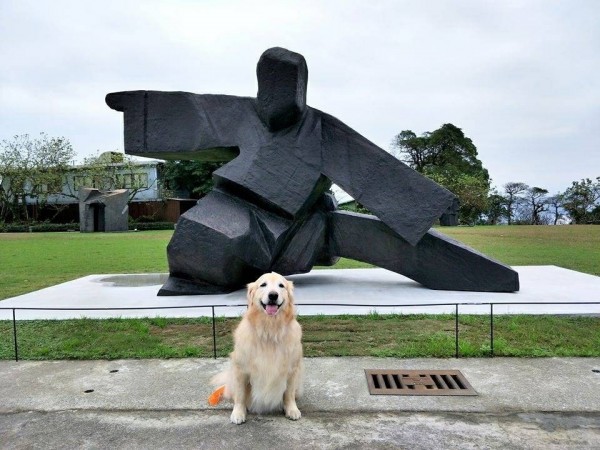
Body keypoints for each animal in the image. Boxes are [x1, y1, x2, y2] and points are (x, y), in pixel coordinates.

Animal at [211, 272, 304, 424]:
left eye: (281, 285)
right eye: (263, 285)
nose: (273, 295)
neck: (270, 330)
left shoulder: (292, 369)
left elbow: (288, 394)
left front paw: (292, 409)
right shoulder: (241, 369)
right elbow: (240, 395)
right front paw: (238, 413)